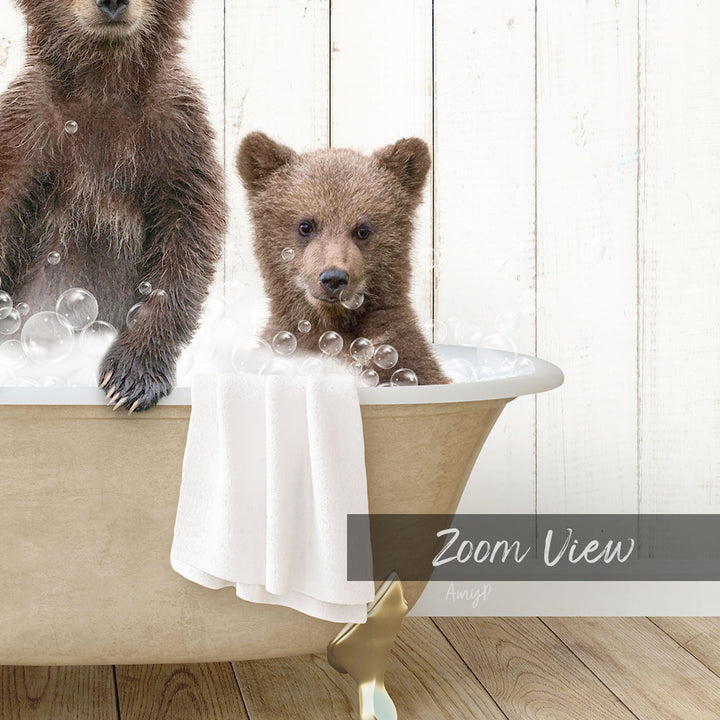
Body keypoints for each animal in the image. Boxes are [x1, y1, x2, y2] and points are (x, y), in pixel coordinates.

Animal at [0, 0, 226, 411]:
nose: (112, 2)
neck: (105, 80)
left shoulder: (176, 129)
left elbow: (186, 239)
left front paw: (131, 377)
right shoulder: (28, 127)